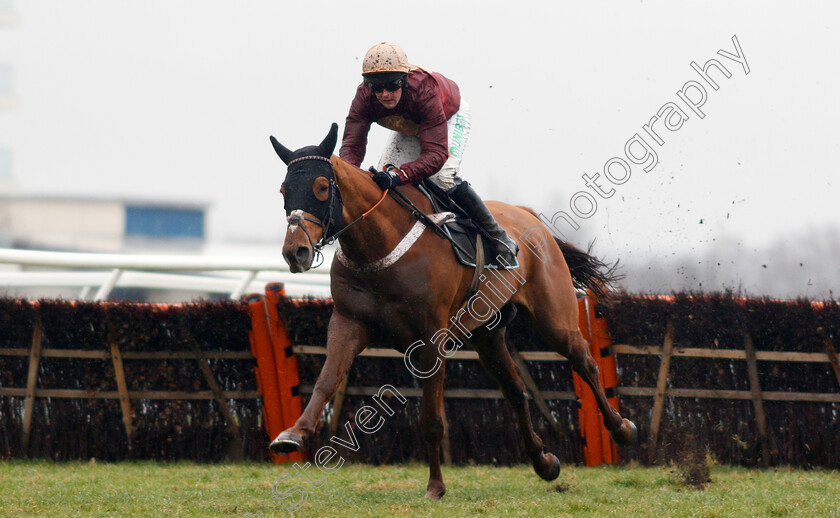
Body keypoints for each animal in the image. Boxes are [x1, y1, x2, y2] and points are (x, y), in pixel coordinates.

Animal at [270, 124, 636, 502]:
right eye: (284, 190)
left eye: (321, 187)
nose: (295, 252)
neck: (379, 246)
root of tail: (526, 214)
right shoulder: (348, 322)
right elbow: (326, 381)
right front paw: (293, 434)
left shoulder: (431, 340)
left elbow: (432, 419)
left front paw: (435, 486)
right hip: (487, 335)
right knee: (516, 391)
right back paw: (544, 462)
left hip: (554, 317)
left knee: (584, 362)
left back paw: (621, 429)